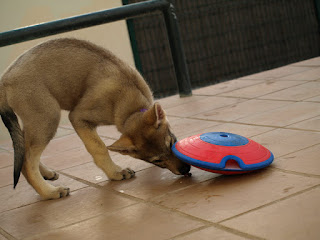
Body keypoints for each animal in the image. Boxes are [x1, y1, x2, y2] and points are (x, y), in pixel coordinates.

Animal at [0, 38, 190, 199]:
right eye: (156, 160)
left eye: (172, 143)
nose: (186, 169)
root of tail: (4, 79)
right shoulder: (78, 117)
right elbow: (99, 148)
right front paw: (115, 173)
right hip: (48, 118)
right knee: (27, 161)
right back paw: (50, 192)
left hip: (35, 122)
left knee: (22, 150)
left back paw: (46, 173)